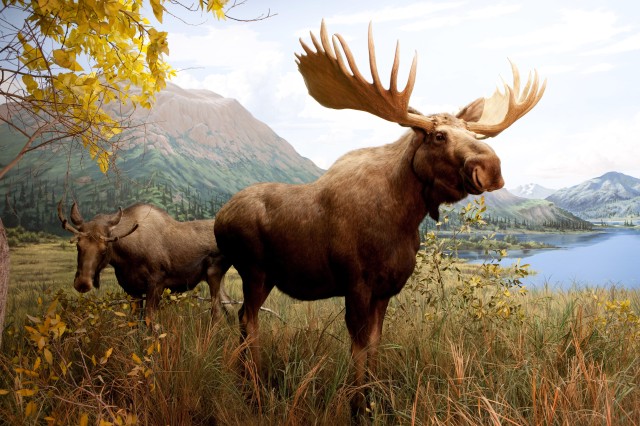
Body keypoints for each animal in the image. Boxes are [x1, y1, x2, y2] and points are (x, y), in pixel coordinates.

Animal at [58, 201, 230, 318]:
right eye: (78, 245)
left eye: (104, 248)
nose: (83, 282)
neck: (125, 259)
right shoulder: (132, 289)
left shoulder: (156, 284)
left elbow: (150, 322)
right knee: (229, 306)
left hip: (213, 274)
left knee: (217, 313)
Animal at [214, 20, 544, 420]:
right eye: (438, 135)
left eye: (474, 132)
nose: (491, 167)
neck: (404, 218)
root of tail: (218, 219)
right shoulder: (356, 282)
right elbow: (358, 345)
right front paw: (357, 407)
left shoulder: (386, 288)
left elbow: (374, 343)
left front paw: (374, 401)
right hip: (254, 271)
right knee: (250, 321)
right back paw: (255, 390)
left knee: (241, 318)